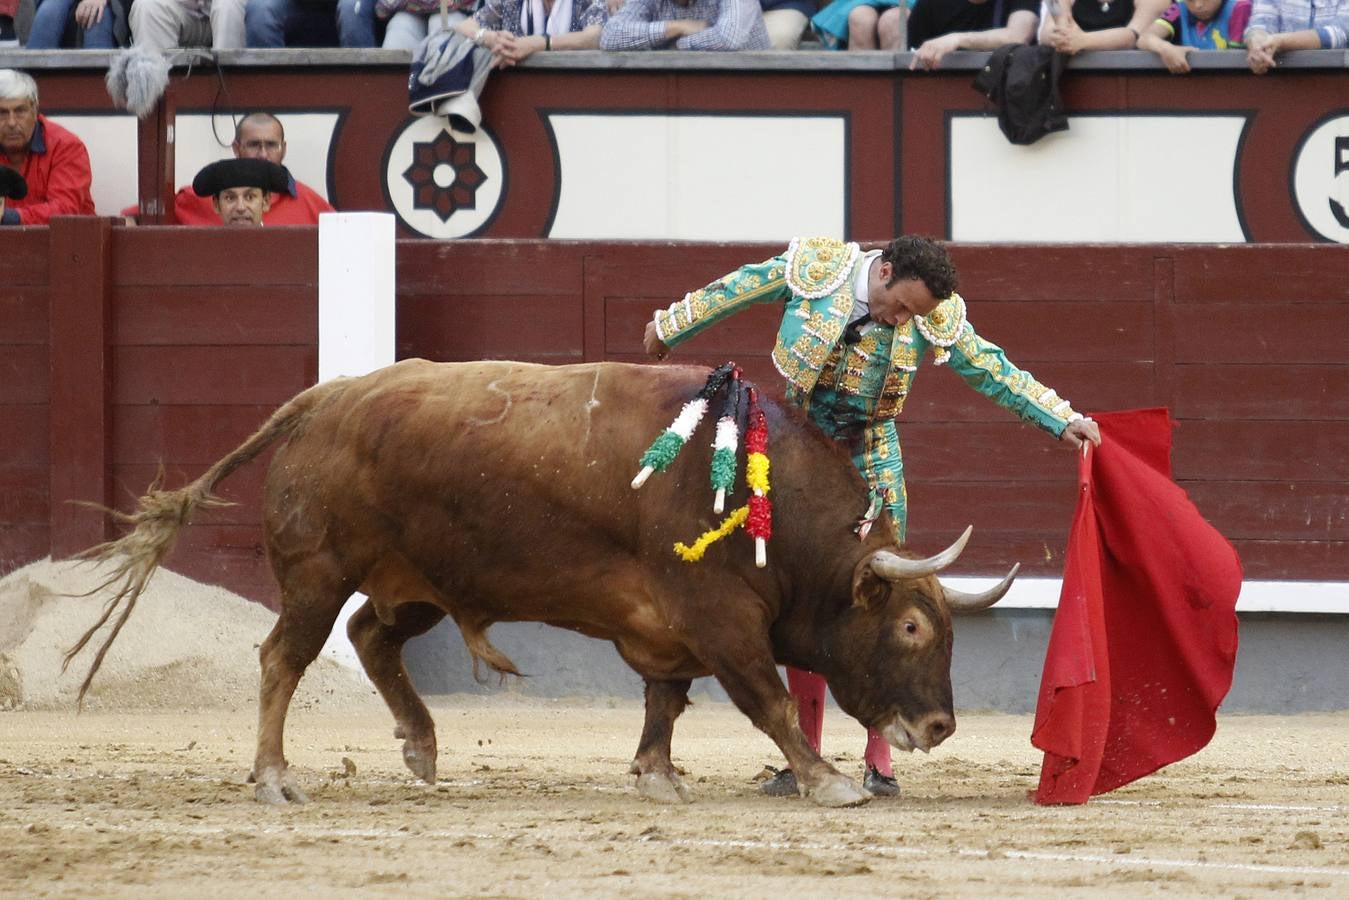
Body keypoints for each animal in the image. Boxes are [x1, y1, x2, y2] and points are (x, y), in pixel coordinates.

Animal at [68, 358, 1014, 809]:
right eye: (911, 630)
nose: (940, 725)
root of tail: (324, 400)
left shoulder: (668, 627)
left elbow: (666, 701)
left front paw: (657, 776)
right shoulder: (719, 619)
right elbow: (770, 700)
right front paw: (828, 780)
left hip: (417, 583)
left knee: (372, 637)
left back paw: (421, 746)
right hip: (316, 576)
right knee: (283, 659)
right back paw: (273, 779)